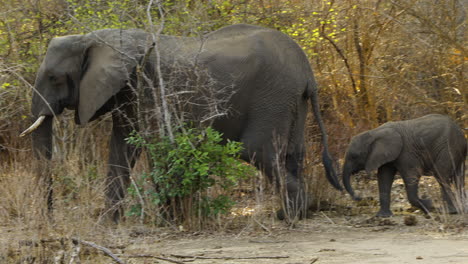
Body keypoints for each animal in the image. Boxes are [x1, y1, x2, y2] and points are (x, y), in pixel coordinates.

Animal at [22, 23, 342, 222]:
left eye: (54, 77)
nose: (50, 221)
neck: (96, 38)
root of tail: (308, 73)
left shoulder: (149, 88)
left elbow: (156, 144)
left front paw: (168, 221)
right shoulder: (127, 91)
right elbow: (121, 147)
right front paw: (109, 225)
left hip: (273, 96)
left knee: (257, 150)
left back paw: (290, 217)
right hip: (293, 101)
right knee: (293, 153)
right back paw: (292, 213)